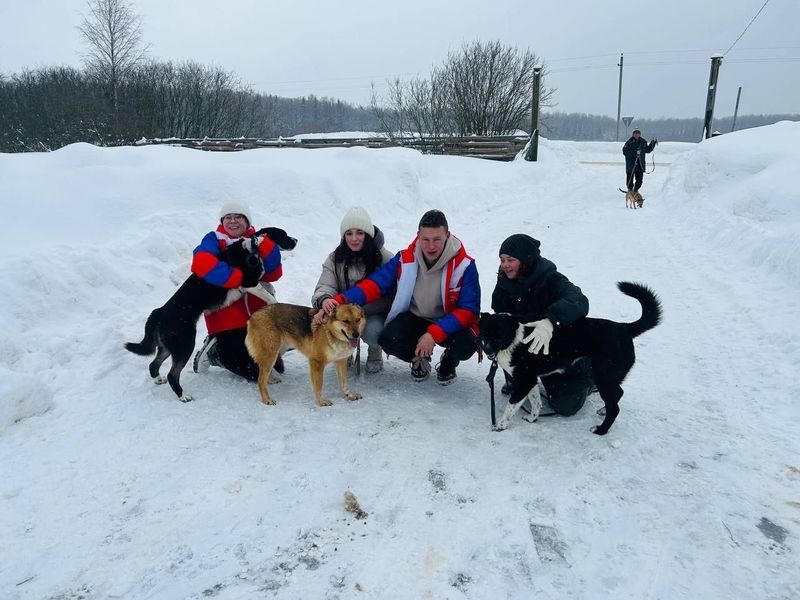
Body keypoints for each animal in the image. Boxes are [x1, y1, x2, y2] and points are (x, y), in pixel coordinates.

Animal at [125, 227, 296, 400]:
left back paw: (158, 379)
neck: (253, 247)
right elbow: (269, 297)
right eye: (284, 235)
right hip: (184, 344)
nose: (296, 240)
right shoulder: (249, 283)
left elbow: (267, 287)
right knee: (172, 374)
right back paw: (183, 395)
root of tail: (159, 312)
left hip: (168, 346)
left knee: (153, 364)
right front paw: (275, 304)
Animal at [478, 282, 660, 436]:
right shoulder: (530, 380)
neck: (514, 337)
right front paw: (532, 419)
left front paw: (500, 425)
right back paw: (603, 411)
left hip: (604, 376)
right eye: (484, 333)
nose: (487, 350)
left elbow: (511, 405)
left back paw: (600, 430)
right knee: (619, 393)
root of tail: (624, 328)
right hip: (606, 376)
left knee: (615, 408)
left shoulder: (524, 381)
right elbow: (536, 402)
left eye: (499, 336)